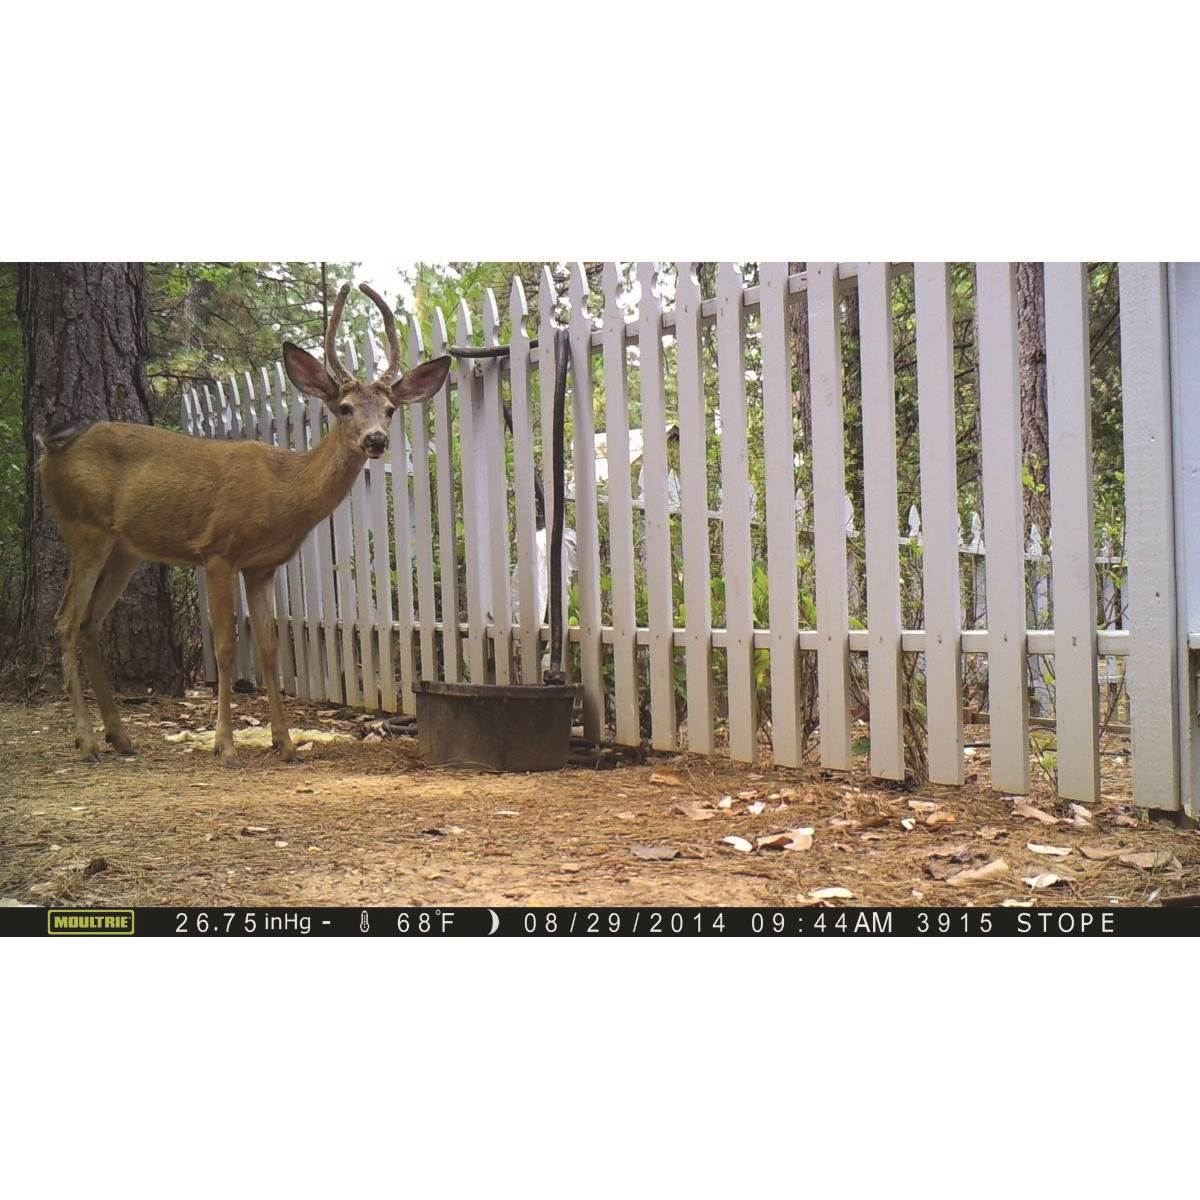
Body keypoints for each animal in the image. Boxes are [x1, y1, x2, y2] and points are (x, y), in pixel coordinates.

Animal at [38, 283, 450, 765]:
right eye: (345, 407)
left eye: (389, 409)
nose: (376, 439)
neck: (284, 491)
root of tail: (51, 450)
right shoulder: (218, 551)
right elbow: (225, 646)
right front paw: (225, 743)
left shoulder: (262, 566)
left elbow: (271, 648)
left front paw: (285, 743)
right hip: (84, 528)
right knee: (65, 620)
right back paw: (86, 741)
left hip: (125, 549)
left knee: (89, 625)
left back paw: (120, 738)